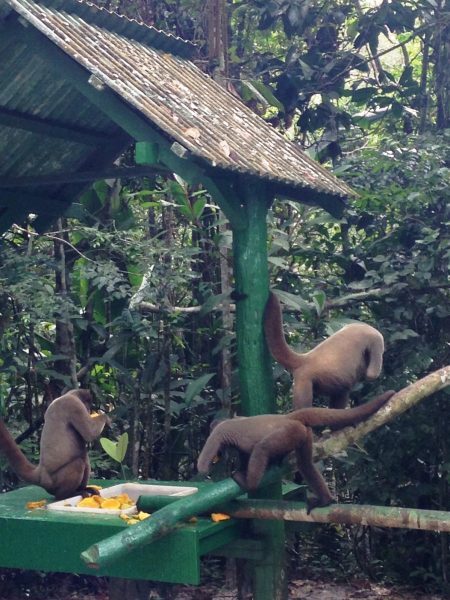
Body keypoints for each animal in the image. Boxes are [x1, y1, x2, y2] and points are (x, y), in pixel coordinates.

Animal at [197, 392, 394, 512]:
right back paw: (325, 499)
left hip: (289, 432)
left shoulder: (218, 433)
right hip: (302, 433)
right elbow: (244, 455)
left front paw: (206, 470)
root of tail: (287, 417)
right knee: (305, 464)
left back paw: (249, 483)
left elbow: (204, 460)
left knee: (262, 448)